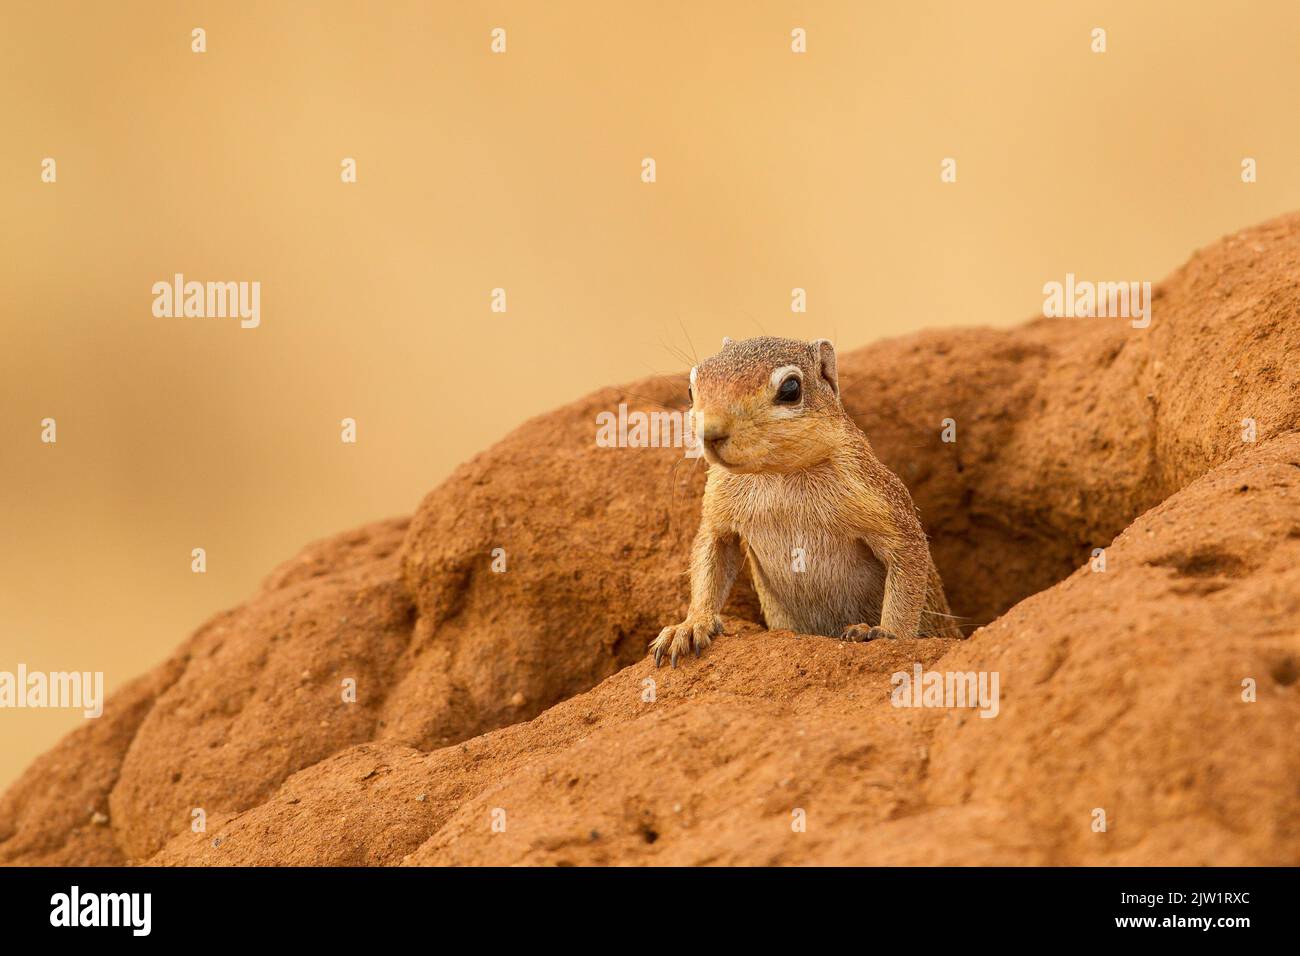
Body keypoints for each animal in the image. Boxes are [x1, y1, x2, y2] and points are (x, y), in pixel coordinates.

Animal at [650, 335, 967, 665]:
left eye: (791, 389)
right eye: (691, 389)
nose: (710, 433)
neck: (778, 476)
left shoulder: (882, 502)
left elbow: (907, 562)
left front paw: (884, 632)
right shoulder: (717, 509)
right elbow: (710, 554)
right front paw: (689, 626)